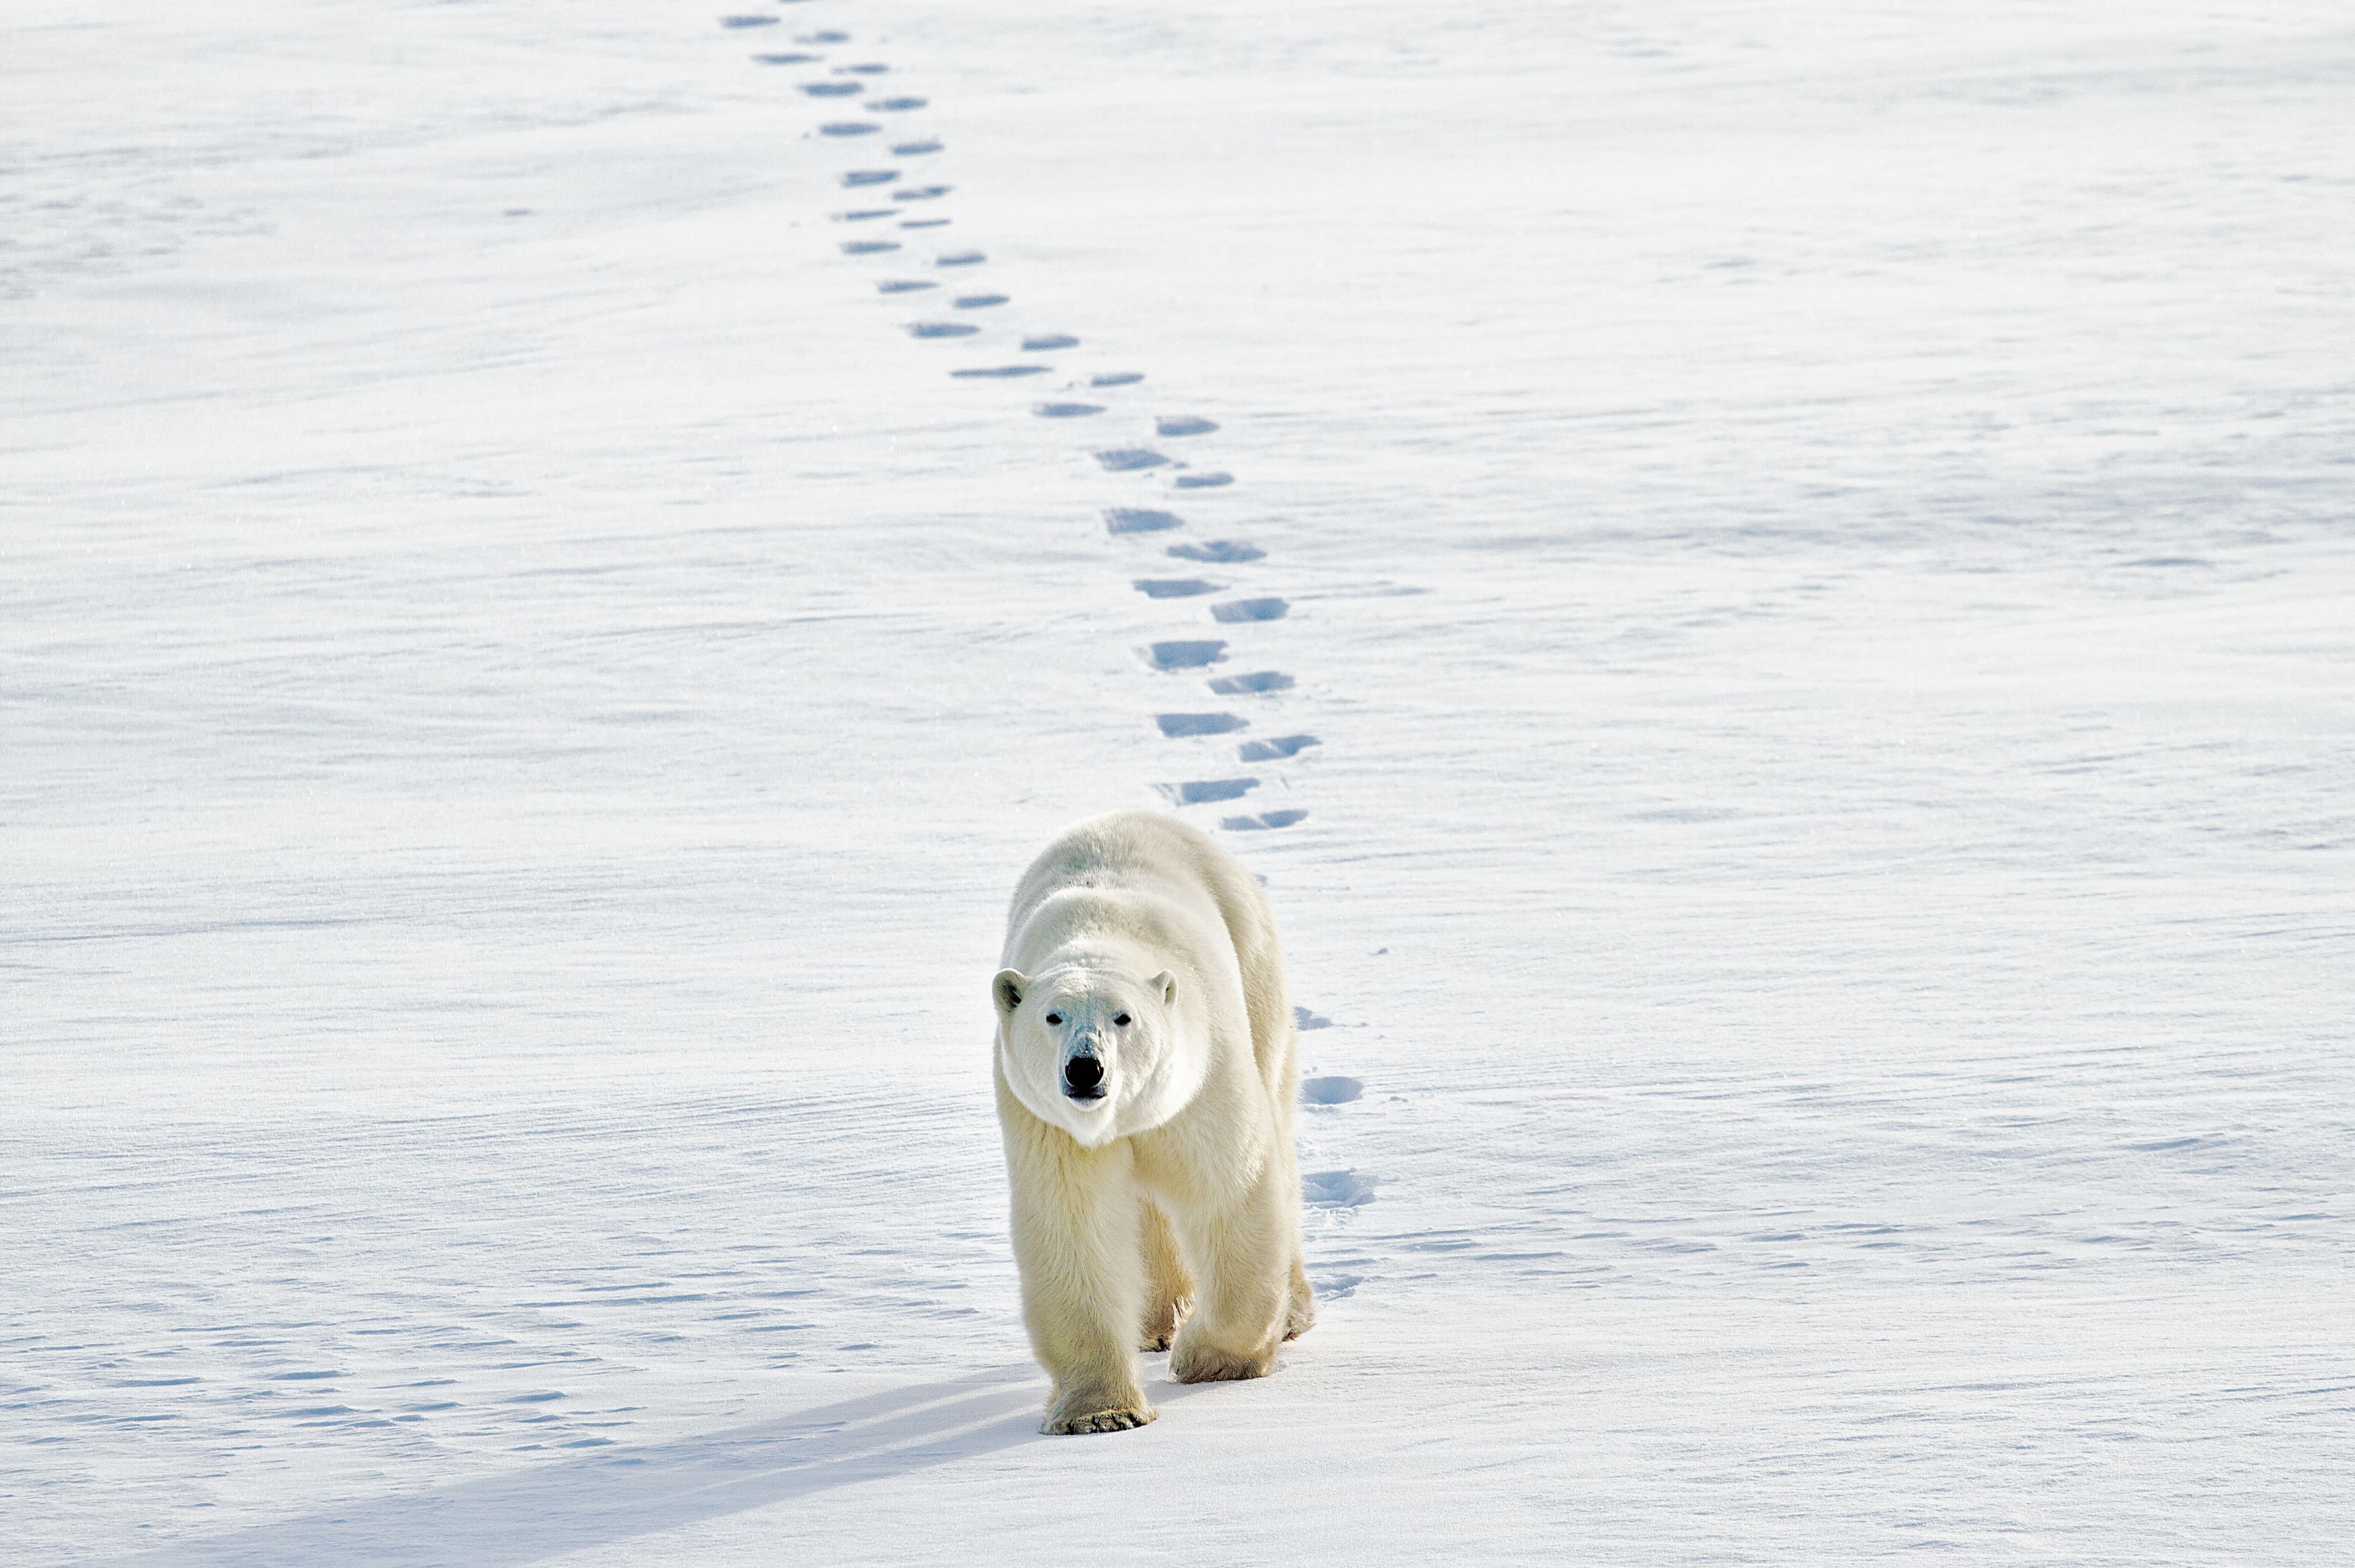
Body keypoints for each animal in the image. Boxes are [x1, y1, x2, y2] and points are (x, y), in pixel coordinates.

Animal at [994, 805, 1318, 1431]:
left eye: (1123, 1017)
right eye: (1052, 1016)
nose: (1085, 1068)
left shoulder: (1200, 1078)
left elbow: (1230, 1190)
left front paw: (1210, 1359)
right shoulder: (1050, 1126)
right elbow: (1075, 1226)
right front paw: (1099, 1412)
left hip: (1255, 968)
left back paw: (1288, 1313)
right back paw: (1157, 1318)